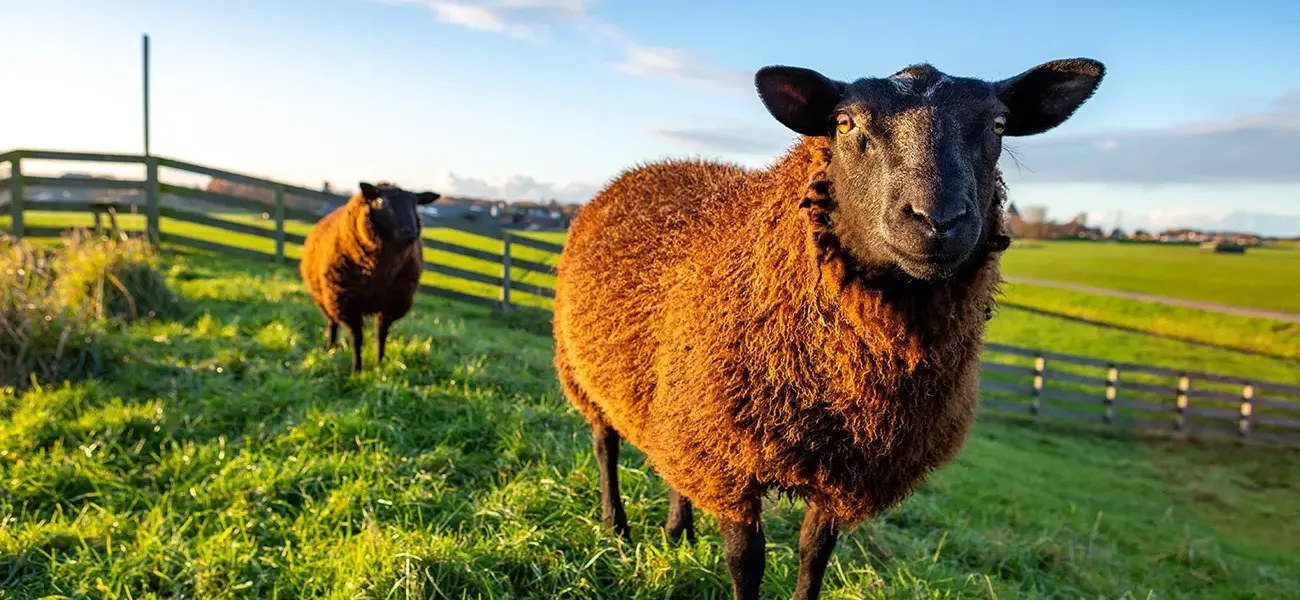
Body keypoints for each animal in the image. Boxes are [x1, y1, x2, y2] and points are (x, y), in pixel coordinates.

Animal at [299, 181, 440, 373]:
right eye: (381, 201)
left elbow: (381, 336)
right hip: (325, 298)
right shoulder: (346, 303)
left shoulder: (392, 304)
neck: (378, 271)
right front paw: (357, 369)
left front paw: (378, 365)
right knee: (332, 323)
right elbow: (357, 338)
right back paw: (329, 348)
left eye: (415, 204)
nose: (410, 233)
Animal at [551, 58, 1105, 599]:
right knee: (604, 444)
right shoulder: (733, 453)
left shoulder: (843, 471)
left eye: (998, 125)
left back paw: (677, 532)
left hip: (673, 406)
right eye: (843, 123)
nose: (938, 220)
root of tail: (648, 168)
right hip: (587, 371)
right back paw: (616, 526)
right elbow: (746, 561)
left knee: (673, 464)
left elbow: (814, 553)